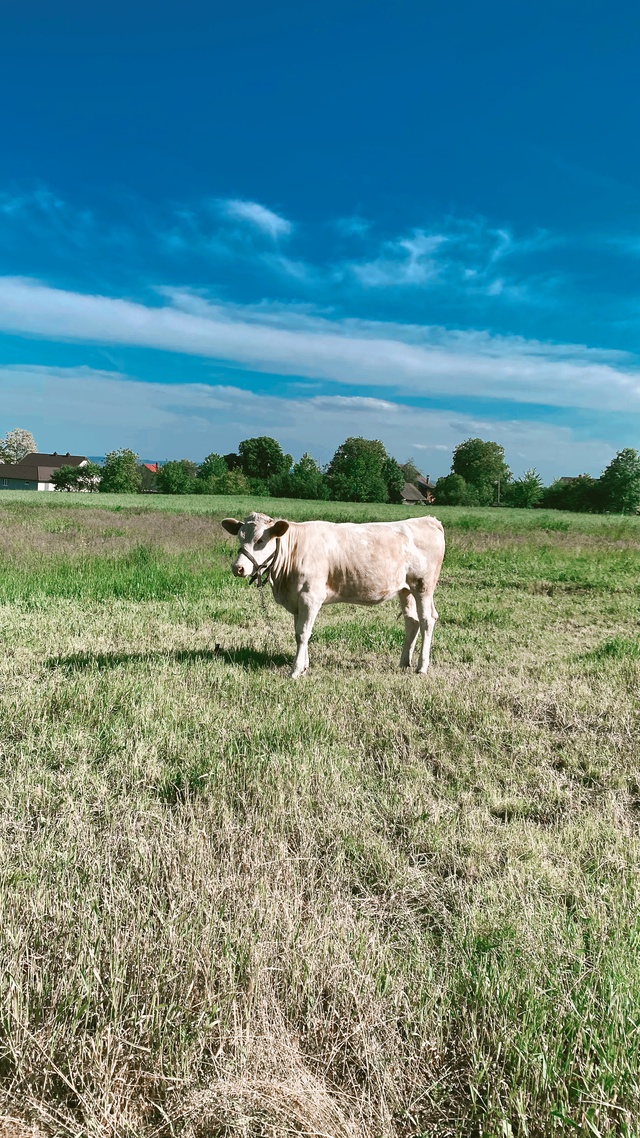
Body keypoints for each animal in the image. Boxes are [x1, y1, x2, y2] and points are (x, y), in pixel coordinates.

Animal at [218, 514, 444, 673]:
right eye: (240, 538)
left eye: (260, 540)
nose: (238, 568)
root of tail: (428, 520)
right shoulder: (297, 600)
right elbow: (299, 633)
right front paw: (305, 665)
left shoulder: (310, 597)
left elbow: (302, 634)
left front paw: (296, 670)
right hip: (406, 589)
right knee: (412, 621)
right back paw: (404, 662)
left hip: (423, 586)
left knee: (427, 620)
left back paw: (421, 667)